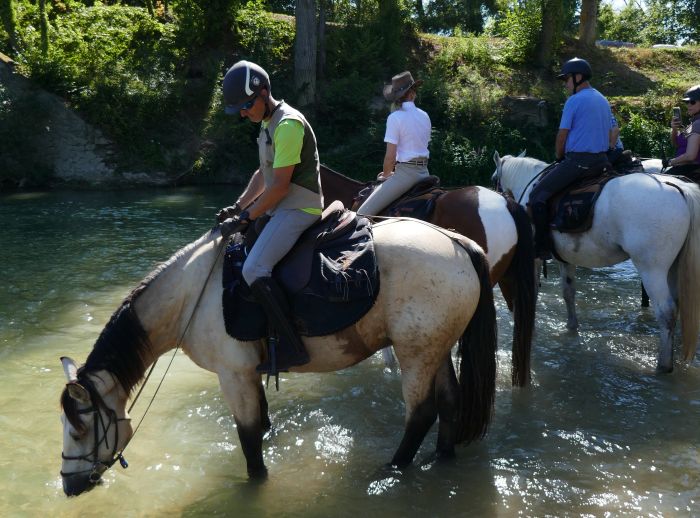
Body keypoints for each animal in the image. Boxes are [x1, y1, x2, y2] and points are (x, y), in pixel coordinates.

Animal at [60, 217, 498, 498]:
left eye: (80, 429)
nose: (68, 484)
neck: (191, 296)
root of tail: (458, 243)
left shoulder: (233, 375)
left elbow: (249, 440)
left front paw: (255, 485)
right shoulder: (249, 374)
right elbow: (263, 422)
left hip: (415, 354)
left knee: (421, 413)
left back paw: (392, 469)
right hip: (435, 349)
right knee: (450, 402)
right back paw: (442, 458)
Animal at [492, 150, 700, 374]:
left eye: (493, 179)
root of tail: (679, 188)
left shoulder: (535, 259)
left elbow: (532, 293)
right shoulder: (565, 259)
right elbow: (568, 292)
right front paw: (571, 327)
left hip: (652, 269)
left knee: (666, 311)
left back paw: (664, 365)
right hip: (673, 268)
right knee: (677, 307)